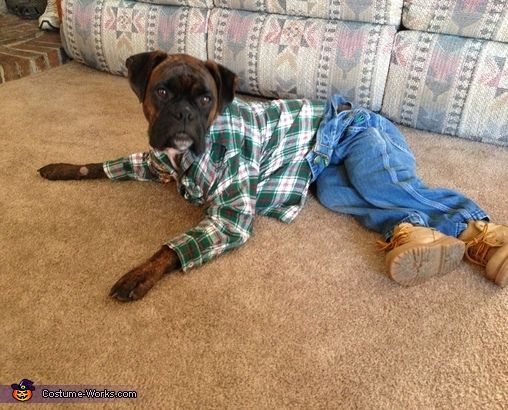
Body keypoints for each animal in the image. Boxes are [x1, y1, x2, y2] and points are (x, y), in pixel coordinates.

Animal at [38, 52, 239, 302]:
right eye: (162, 92)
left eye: (205, 99)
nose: (184, 113)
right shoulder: (152, 165)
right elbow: (98, 166)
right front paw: (60, 168)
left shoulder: (229, 220)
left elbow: (169, 250)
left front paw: (139, 275)